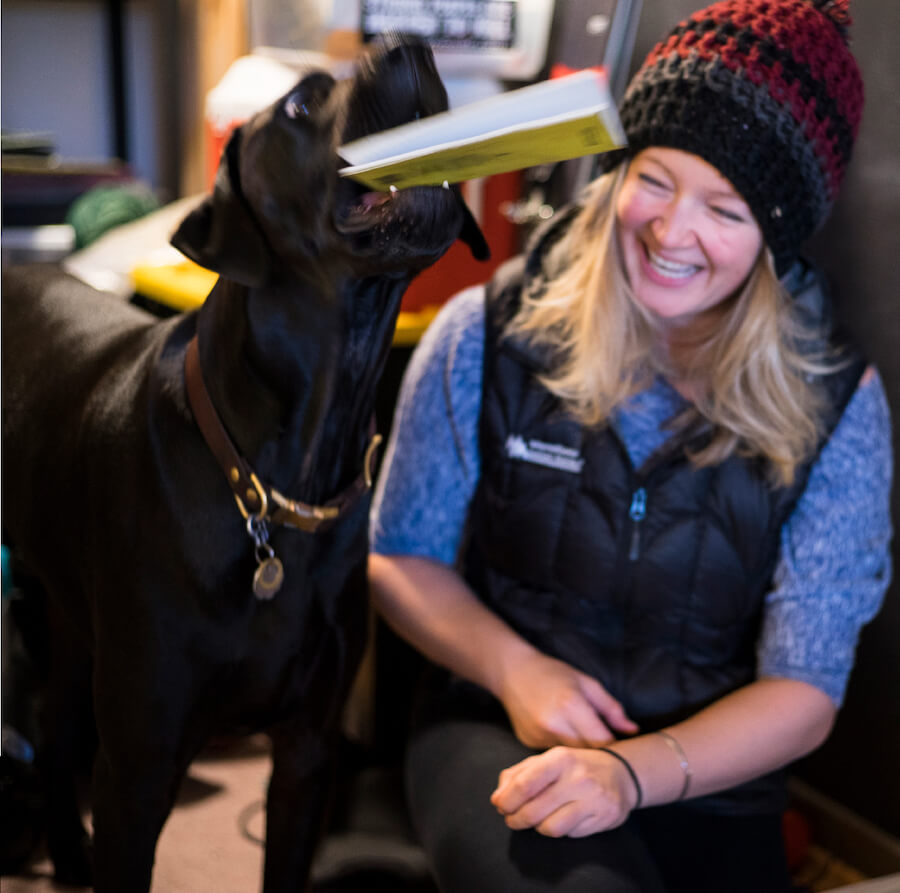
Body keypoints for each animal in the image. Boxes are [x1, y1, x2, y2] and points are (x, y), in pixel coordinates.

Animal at [1, 40, 486, 892]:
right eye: (300, 105)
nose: (415, 48)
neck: (279, 481)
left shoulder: (307, 754)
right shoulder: (139, 770)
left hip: (68, 611)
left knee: (57, 728)